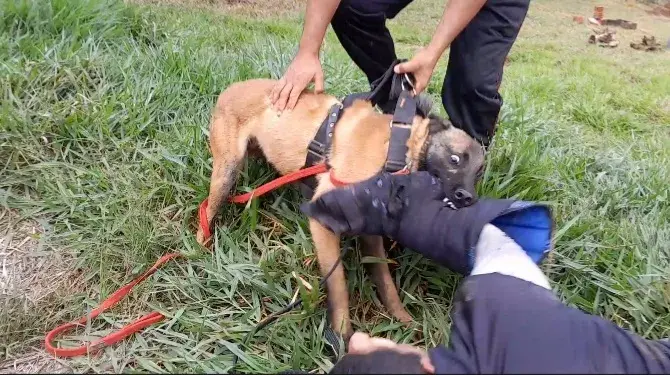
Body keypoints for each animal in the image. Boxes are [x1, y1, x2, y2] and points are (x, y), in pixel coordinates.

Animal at [197, 80, 486, 344]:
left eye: (479, 172)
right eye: (454, 159)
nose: (468, 198)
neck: (396, 151)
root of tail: (231, 88)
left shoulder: (370, 231)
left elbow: (385, 281)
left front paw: (402, 318)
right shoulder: (321, 221)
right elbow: (338, 286)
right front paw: (340, 336)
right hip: (226, 172)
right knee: (208, 211)